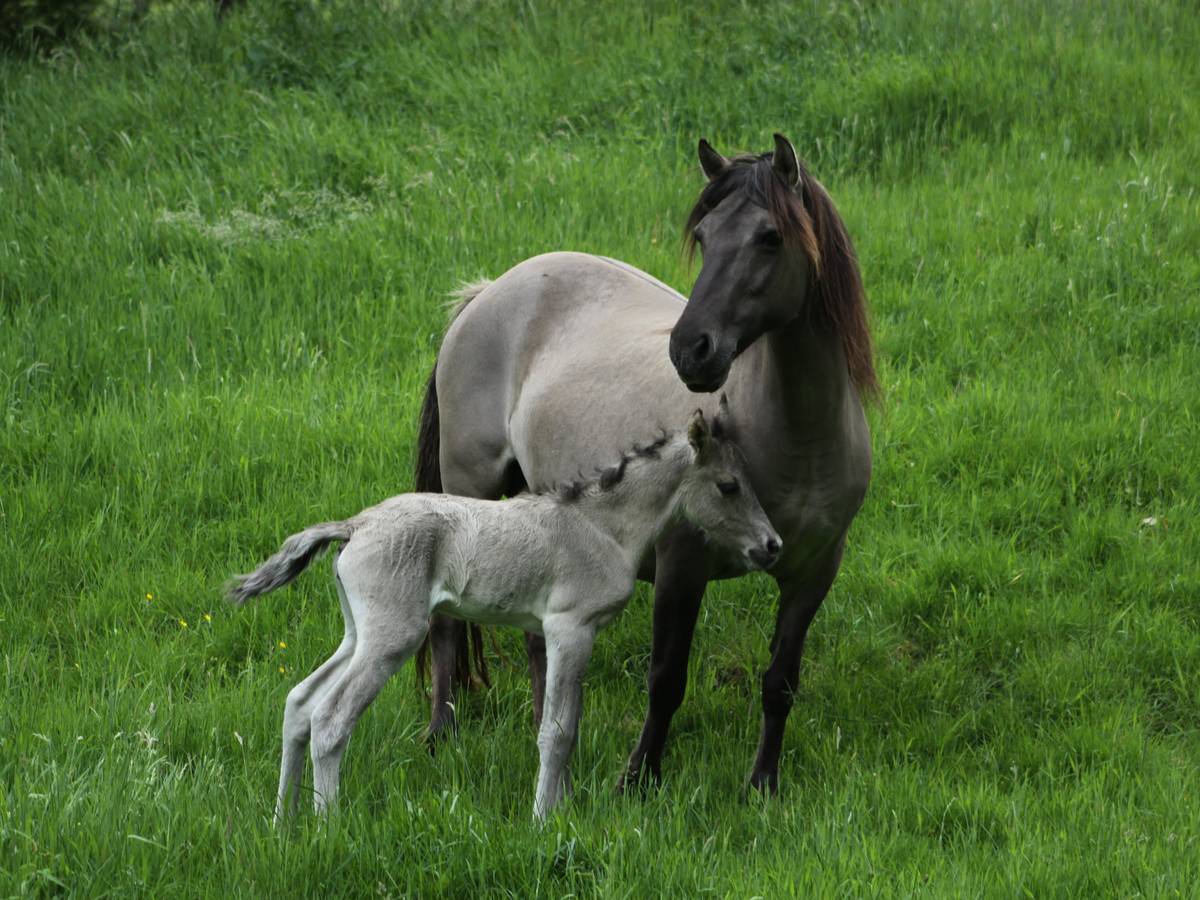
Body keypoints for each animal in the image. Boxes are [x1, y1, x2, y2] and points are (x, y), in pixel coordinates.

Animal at [229, 405, 782, 820]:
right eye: (728, 485)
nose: (772, 546)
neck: (602, 527)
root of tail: (355, 525)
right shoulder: (568, 629)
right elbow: (556, 731)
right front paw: (542, 820)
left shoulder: (575, 636)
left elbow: (569, 724)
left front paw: (561, 810)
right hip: (393, 638)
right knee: (330, 718)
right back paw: (329, 824)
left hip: (358, 635)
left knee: (299, 703)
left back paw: (282, 821)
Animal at [412, 130, 873, 792]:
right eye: (703, 236)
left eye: (770, 237)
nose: (691, 351)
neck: (795, 442)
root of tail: (489, 291)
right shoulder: (681, 569)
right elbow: (667, 679)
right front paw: (638, 779)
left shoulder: (814, 573)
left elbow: (780, 683)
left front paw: (762, 784)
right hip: (468, 487)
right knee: (448, 621)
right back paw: (440, 734)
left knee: (533, 639)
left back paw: (540, 727)